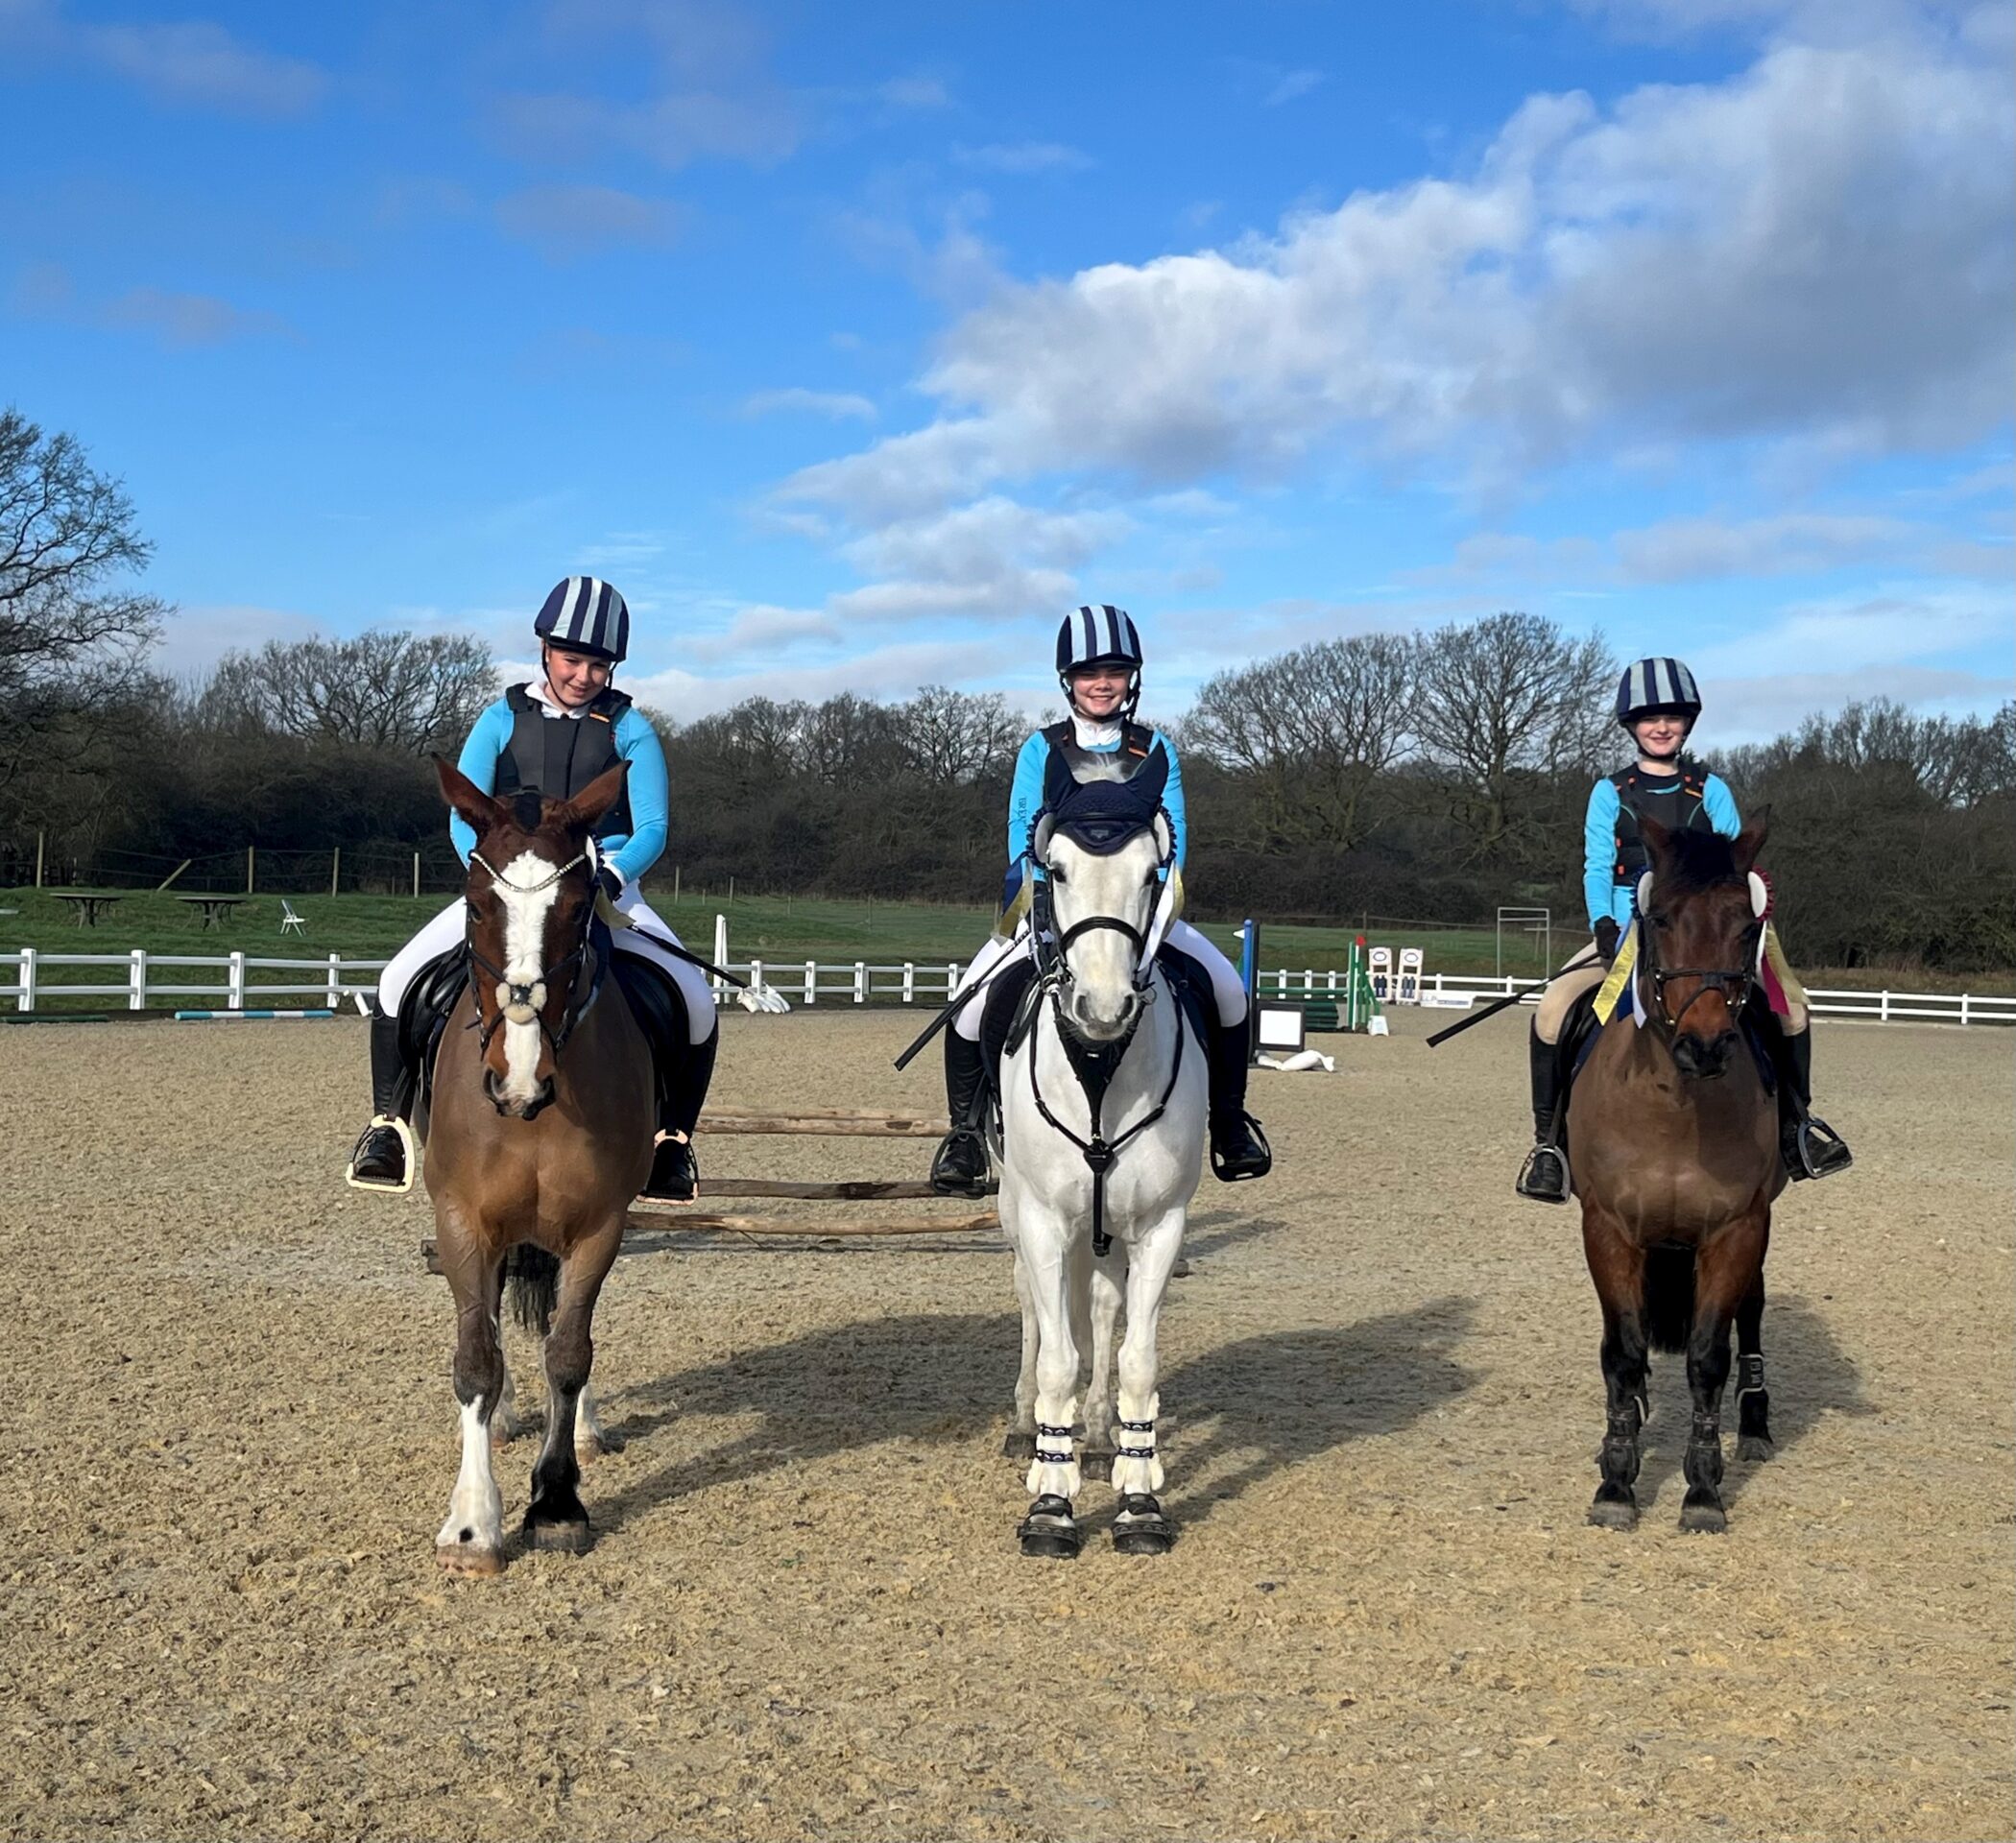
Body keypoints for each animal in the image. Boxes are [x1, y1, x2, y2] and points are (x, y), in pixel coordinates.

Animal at [424, 757, 654, 1575]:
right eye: (475, 903)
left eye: (581, 905)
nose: (518, 1080)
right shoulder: (462, 1221)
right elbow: (476, 1358)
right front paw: (472, 1524)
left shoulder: (600, 1227)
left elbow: (569, 1351)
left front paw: (556, 1501)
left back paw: (581, 1424)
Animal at [992, 770, 1209, 1558]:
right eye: (1054, 869)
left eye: (1152, 873)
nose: (1104, 1007)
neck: (1100, 1066)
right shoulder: (1044, 1222)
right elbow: (1057, 1355)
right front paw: (1050, 1508)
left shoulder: (1160, 1226)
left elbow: (1136, 1359)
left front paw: (1139, 1501)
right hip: (1016, 1216)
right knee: (1033, 1308)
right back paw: (1027, 1426)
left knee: (1105, 1310)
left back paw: (1093, 1432)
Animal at [1568, 812, 1783, 1534]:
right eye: (1658, 918)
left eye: (1747, 926)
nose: (1706, 1045)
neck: (1676, 1106)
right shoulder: (1609, 1229)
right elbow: (1623, 1353)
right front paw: (1616, 1482)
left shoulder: (1736, 1230)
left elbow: (1708, 1357)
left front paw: (1703, 1490)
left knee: (1752, 1313)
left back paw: (1755, 1426)